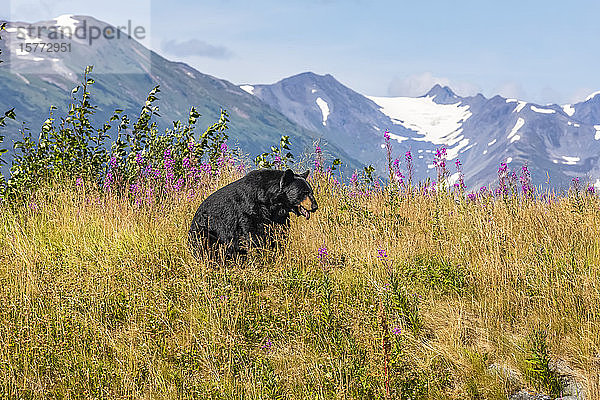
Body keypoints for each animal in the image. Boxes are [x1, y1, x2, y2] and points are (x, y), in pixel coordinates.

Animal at [189, 168, 318, 256]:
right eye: (304, 193)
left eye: (311, 192)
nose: (315, 206)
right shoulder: (249, 211)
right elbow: (253, 235)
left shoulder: (278, 216)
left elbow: (280, 232)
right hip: (205, 230)